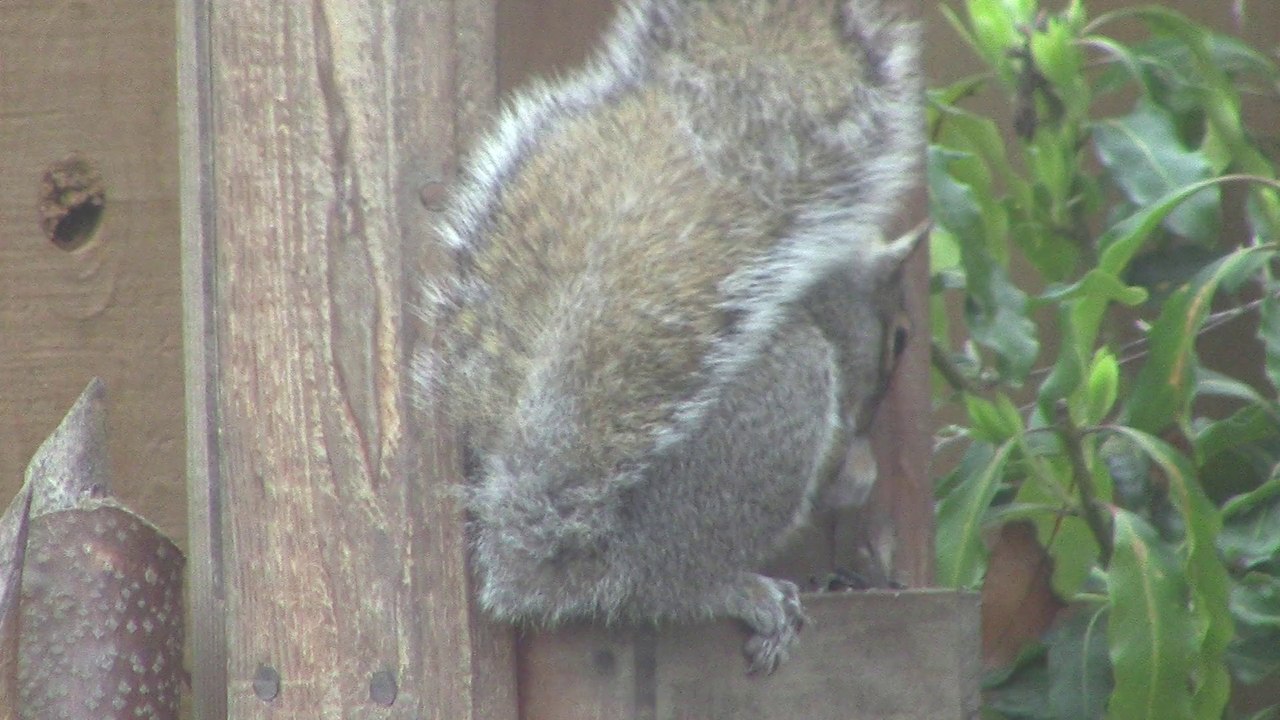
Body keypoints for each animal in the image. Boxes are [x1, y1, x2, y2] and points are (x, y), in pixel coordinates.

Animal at [414, 0, 922, 673]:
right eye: (902, 338)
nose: (872, 421)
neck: (828, 287)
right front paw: (857, 473)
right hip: (783, 399)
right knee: (668, 587)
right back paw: (742, 591)